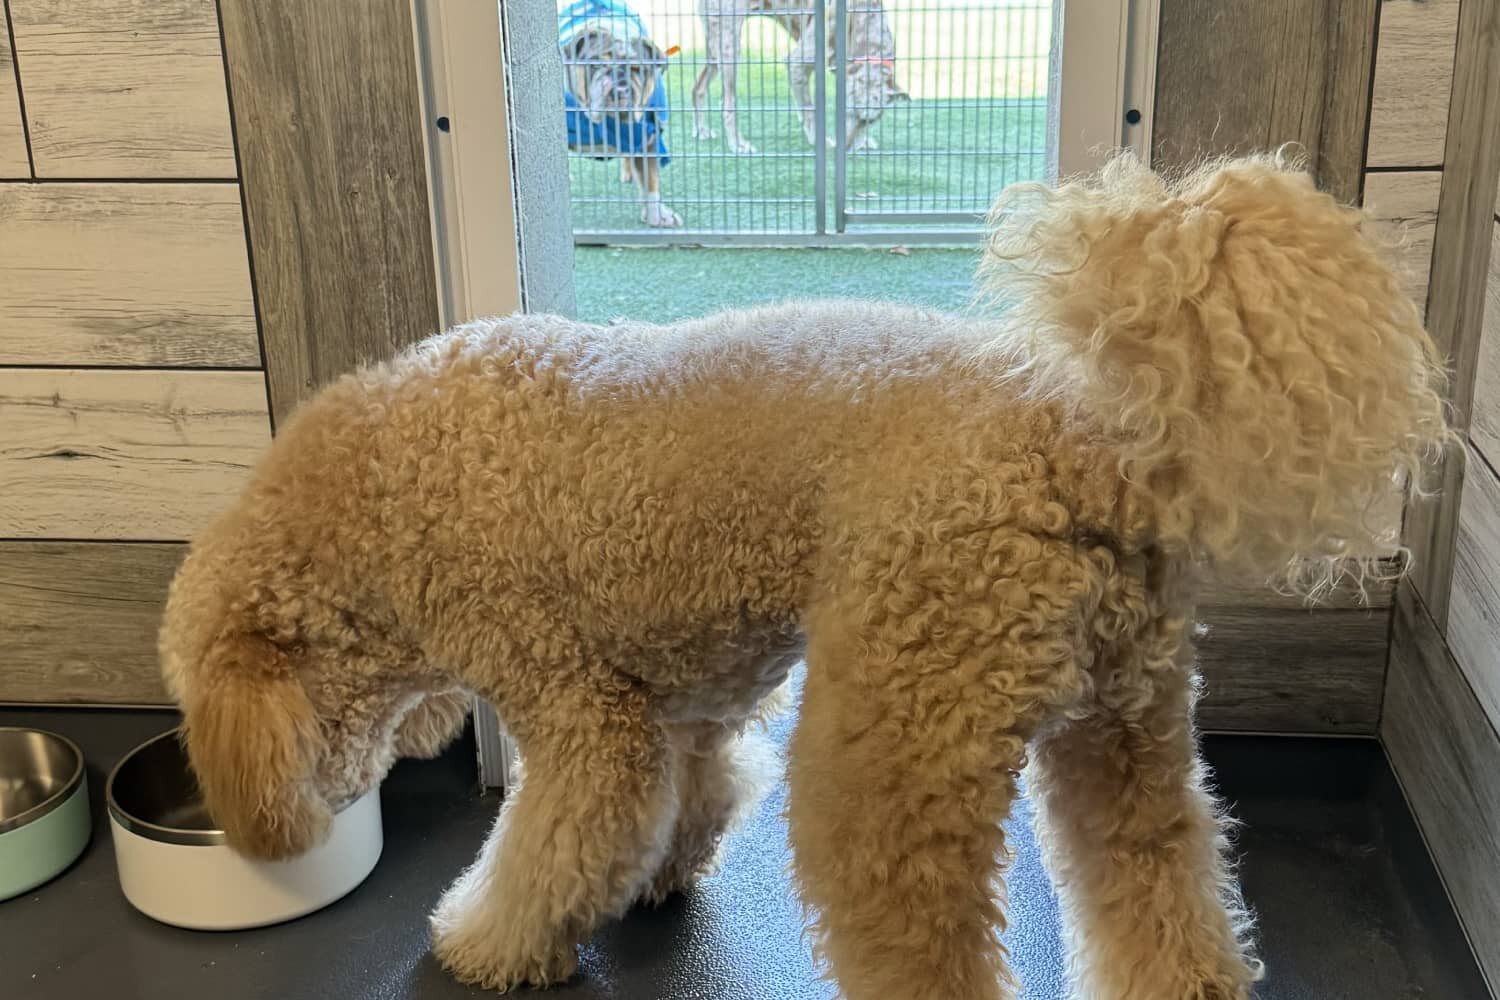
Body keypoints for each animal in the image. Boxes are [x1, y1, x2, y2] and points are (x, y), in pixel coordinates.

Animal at [159, 154, 1450, 999]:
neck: (385, 485)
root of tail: (1081, 433)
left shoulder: (581, 710)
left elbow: (556, 838)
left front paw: (485, 942)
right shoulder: (682, 692)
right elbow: (692, 790)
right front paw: (657, 880)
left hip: (894, 736)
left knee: (922, 940)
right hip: (1130, 725)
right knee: (1162, 877)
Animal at [561, 0, 681, 227]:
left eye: (637, 69)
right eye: (596, 64)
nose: (620, 87)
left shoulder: (647, 136)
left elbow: (651, 181)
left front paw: (658, 215)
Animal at [692, 0, 909, 154]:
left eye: (868, 121)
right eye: (846, 111)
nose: (846, 150)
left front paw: (863, 141)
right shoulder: (796, 63)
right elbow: (809, 110)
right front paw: (819, 140)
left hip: (715, 48)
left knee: (698, 87)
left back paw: (701, 130)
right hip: (730, 47)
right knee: (727, 103)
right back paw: (738, 144)